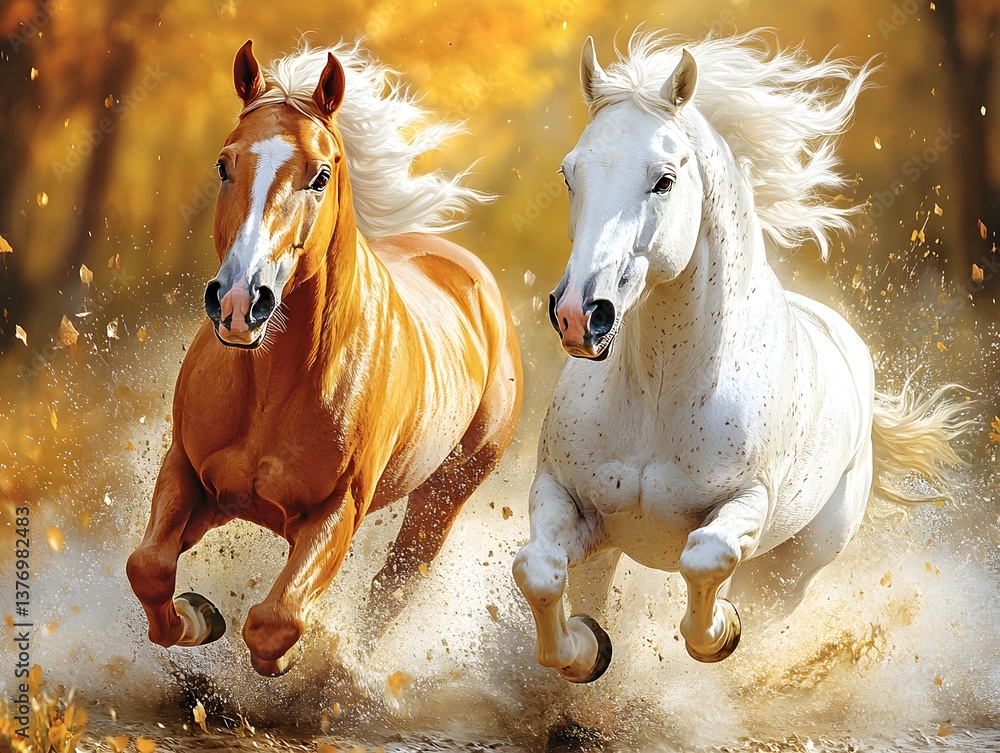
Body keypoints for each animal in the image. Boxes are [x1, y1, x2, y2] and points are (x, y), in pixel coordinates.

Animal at [126, 39, 522, 676]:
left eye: (321, 174)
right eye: (224, 164)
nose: (238, 302)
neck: (272, 386)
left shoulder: (337, 511)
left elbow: (276, 620)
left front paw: (290, 659)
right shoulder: (190, 472)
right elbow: (150, 567)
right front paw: (198, 617)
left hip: (444, 495)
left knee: (394, 584)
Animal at [512, 31, 971, 683]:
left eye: (664, 180)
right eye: (570, 174)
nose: (581, 313)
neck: (660, 393)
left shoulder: (745, 505)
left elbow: (707, 559)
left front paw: (717, 633)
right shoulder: (570, 500)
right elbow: (539, 571)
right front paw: (584, 647)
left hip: (793, 570)